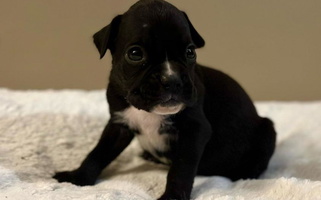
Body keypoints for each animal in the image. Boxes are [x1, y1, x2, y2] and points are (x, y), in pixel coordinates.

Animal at [53, 0, 276, 199]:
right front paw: (77, 177)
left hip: (267, 131)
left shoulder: (194, 131)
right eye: (135, 54)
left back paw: (243, 175)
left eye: (190, 52)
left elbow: (181, 169)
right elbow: (98, 152)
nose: (172, 80)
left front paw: (172, 197)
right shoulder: (119, 124)